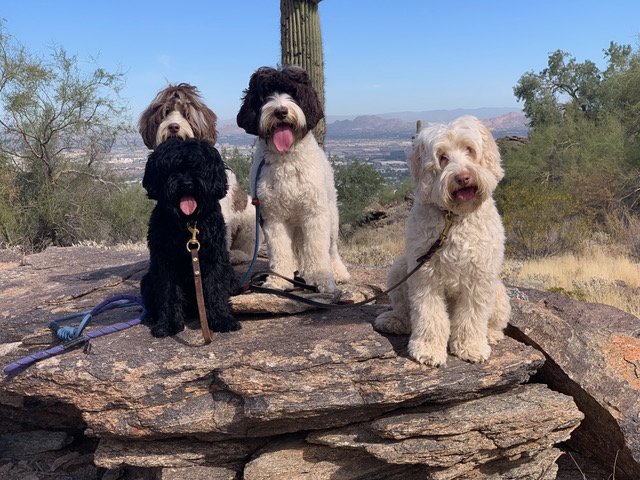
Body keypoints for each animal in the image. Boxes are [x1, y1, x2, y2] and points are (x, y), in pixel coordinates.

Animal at [141, 139, 240, 338]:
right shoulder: (165, 263)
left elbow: (216, 287)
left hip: (232, 277)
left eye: (198, 167)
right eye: (172, 168)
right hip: (146, 281)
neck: (188, 223)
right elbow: (168, 292)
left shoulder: (214, 259)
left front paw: (222, 319)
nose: (187, 183)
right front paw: (168, 324)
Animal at [236, 65, 350, 292]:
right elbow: (280, 250)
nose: (280, 111)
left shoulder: (315, 214)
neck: (286, 159)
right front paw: (278, 280)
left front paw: (321, 280)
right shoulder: (272, 217)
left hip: (332, 217)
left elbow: (317, 249)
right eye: (266, 95)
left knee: (331, 249)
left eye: (293, 93)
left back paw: (338, 272)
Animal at [376, 116, 510, 368]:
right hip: (400, 269)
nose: (463, 177)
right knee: (404, 309)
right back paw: (395, 321)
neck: (453, 218)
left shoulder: (479, 277)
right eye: (442, 157)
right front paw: (428, 350)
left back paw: (491, 334)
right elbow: (429, 315)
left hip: (497, 292)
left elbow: (472, 317)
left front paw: (471, 347)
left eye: (469, 149)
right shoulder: (425, 274)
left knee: (496, 321)